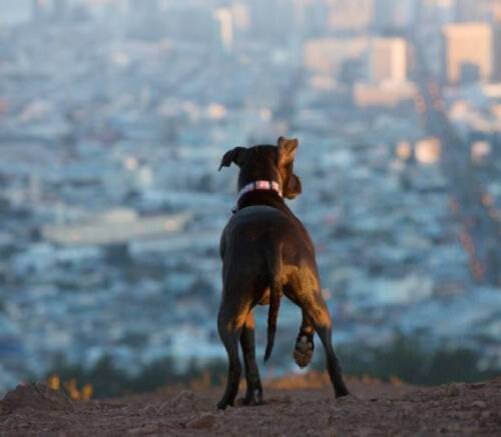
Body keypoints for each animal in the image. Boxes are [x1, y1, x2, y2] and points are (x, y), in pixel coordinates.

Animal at [217, 136, 350, 408]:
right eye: (292, 164)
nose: (299, 182)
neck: (260, 192)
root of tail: (271, 238)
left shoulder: (247, 315)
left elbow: (249, 356)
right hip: (310, 291)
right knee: (329, 349)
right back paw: (340, 391)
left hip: (233, 307)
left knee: (236, 364)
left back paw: (225, 403)